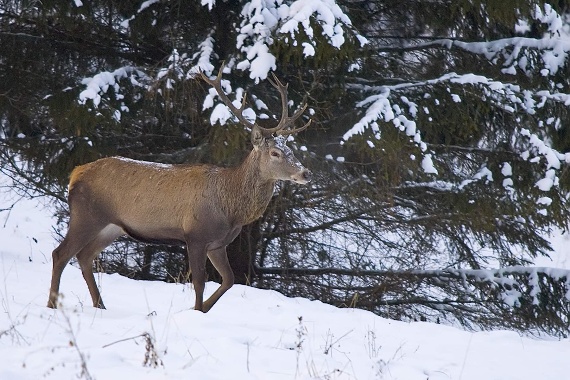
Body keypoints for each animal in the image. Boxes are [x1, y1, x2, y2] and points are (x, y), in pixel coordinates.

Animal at [46, 63, 312, 310]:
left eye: (291, 149)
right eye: (275, 153)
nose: (305, 172)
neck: (230, 208)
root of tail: (75, 174)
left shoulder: (218, 243)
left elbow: (229, 280)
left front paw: (200, 310)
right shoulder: (195, 235)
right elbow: (200, 282)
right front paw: (195, 311)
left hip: (112, 226)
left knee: (84, 256)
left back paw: (100, 305)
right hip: (87, 215)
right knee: (60, 253)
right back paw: (52, 304)